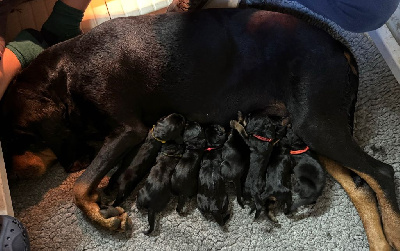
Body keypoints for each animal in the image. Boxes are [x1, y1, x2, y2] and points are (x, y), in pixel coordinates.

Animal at [0, 7, 398, 249]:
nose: (12, 179)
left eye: (19, 137)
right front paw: (109, 196)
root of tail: (337, 43)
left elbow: (79, 188)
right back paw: (380, 241)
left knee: (381, 172)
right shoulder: (136, 136)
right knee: (362, 185)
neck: (66, 74)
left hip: (317, 124)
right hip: (309, 130)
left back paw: (392, 231)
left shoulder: (128, 130)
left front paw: (102, 216)